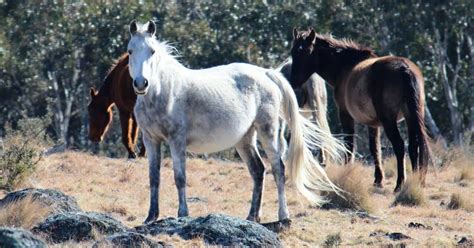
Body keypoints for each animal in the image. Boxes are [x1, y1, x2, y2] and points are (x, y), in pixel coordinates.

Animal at [128, 20, 346, 223]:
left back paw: (283, 215)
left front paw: (182, 214)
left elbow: (180, 177)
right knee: (258, 171)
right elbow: (154, 178)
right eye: (130, 51)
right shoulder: (151, 140)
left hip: (268, 132)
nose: (141, 84)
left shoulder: (177, 141)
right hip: (245, 139)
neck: (163, 92)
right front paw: (151, 217)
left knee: (278, 169)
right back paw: (252, 216)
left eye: (152, 51)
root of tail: (267, 73)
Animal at [290, 29, 432, 192]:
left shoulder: (345, 114)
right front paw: (378, 180)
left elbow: (349, 145)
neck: (345, 66)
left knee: (399, 145)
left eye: (305, 51)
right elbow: (375, 148)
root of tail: (404, 69)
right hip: (411, 117)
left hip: (389, 120)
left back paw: (399, 184)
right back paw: (415, 182)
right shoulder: (373, 123)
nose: (292, 81)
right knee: (414, 146)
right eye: (293, 51)